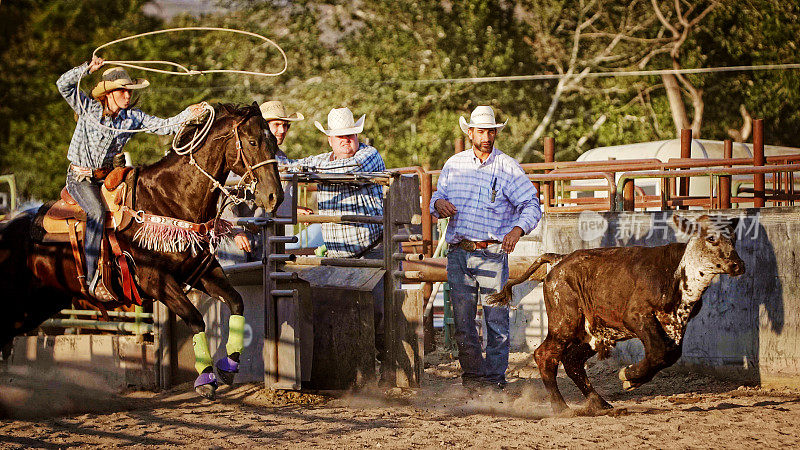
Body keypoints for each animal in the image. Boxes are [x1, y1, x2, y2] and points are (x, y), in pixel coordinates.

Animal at [0, 102, 282, 398]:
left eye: (274, 141)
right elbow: (195, 319)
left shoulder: (200, 269)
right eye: (252, 141)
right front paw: (205, 379)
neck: (168, 200)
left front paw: (228, 366)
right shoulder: (155, 280)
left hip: (39, 306)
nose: (274, 196)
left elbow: (236, 301)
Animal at [488, 216, 744, 414]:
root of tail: (559, 259)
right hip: (564, 324)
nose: (737, 264)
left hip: (591, 334)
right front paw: (628, 375)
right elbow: (659, 352)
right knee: (545, 355)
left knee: (572, 361)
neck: (677, 272)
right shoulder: (637, 316)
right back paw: (561, 407)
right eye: (711, 238)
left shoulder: (675, 325)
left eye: (733, 238)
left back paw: (599, 403)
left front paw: (633, 378)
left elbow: (669, 354)